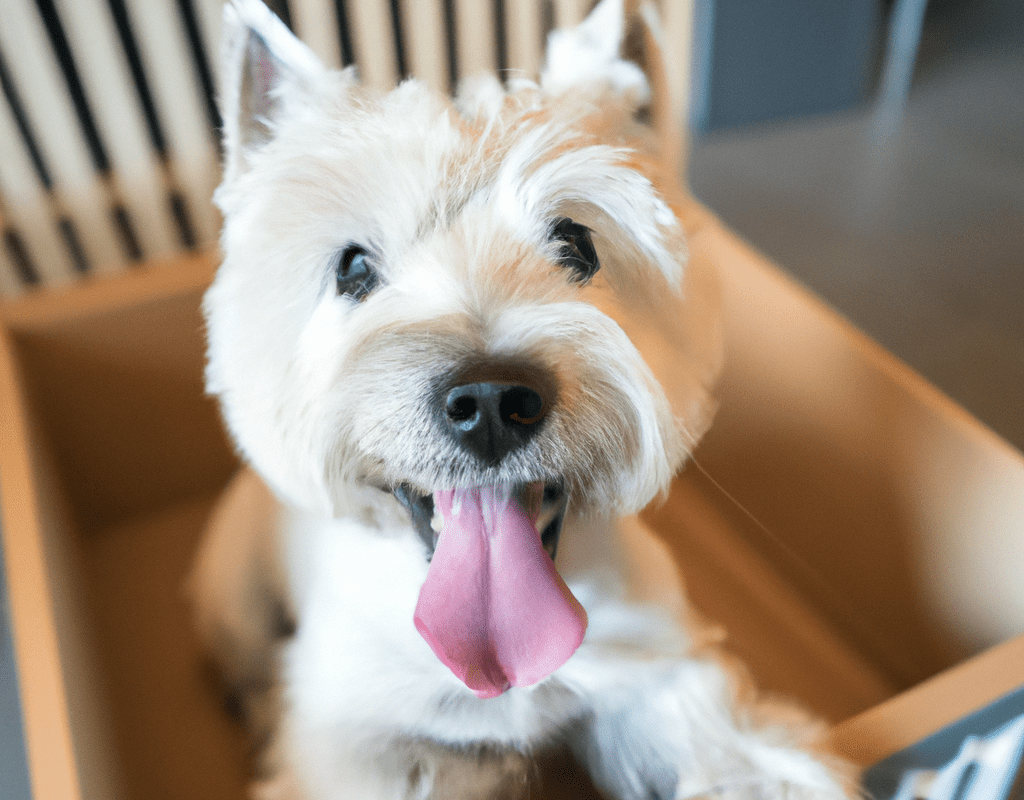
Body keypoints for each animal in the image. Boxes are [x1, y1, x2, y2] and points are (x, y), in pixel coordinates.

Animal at [190, 0, 856, 794]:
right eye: (352, 268)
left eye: (577, 245)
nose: (490, 401)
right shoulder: (353, 735)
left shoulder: (649, 658)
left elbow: (711, 730)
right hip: (232, 596)